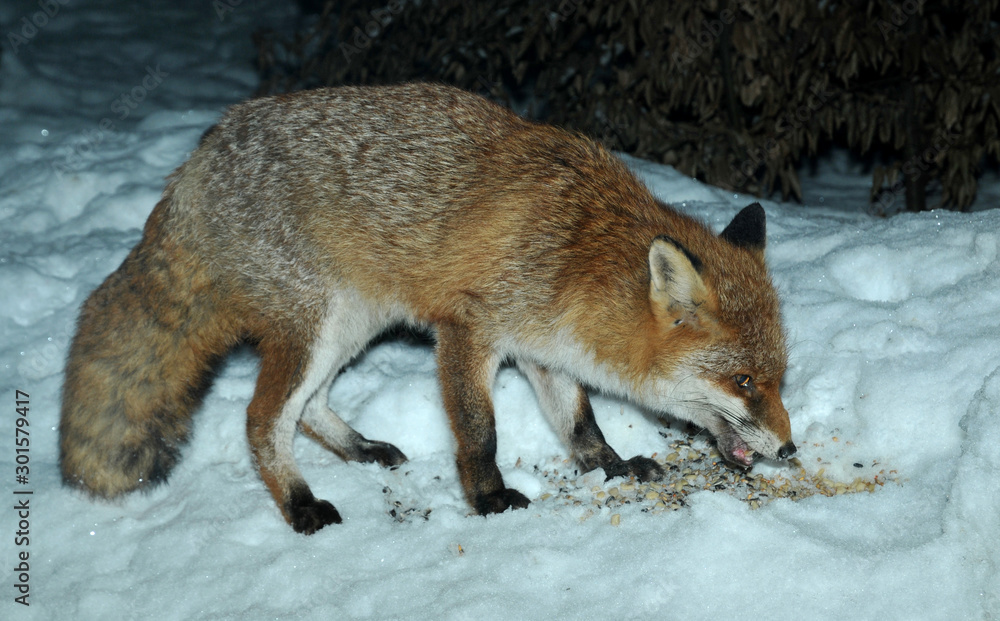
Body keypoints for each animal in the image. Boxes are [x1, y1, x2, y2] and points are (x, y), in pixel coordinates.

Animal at [60, 82, 795, 534]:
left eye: (778, 379)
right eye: (744, 382)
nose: (789, 449)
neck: (572, 249)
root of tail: (199, 158)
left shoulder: (544, 347)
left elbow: (579, 422)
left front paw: (612, 467)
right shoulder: (469, 328)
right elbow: (478, 431)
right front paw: (489, 499)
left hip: (350, 323)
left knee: (309, 406)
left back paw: (361, 448)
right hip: (317, 325)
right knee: (263, 419)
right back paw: (300, 503)